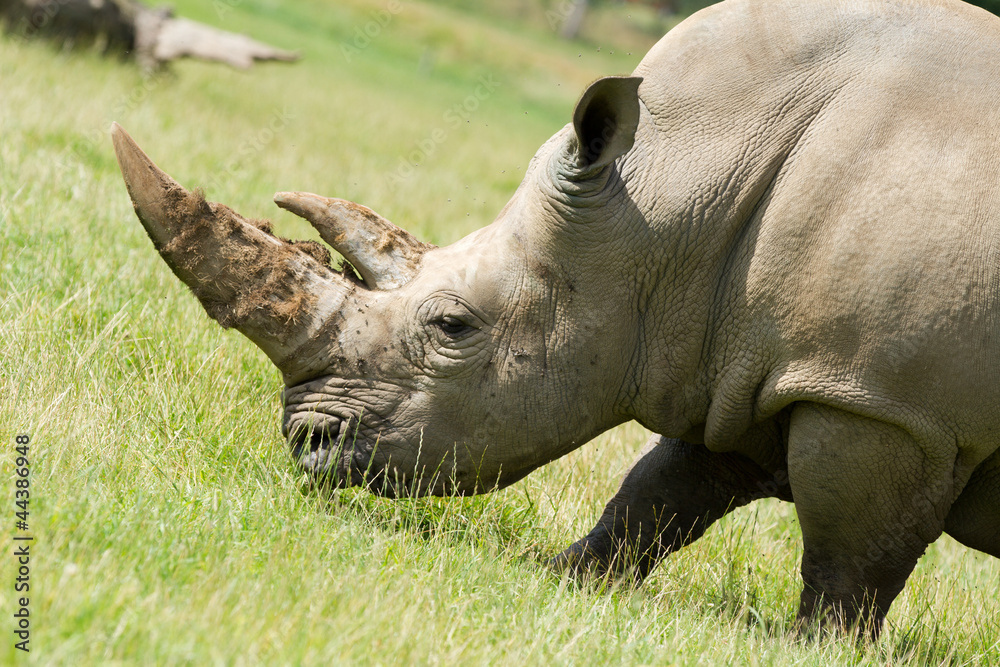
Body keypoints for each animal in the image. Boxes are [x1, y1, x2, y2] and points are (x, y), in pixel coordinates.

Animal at [111, 0, 1000, 636]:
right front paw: (571, 577)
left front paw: (820, 645)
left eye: (452, 327)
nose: (306, 444)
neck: (666, 197)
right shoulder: (741, 358)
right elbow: (661, 489)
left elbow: (850, 553)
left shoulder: (884, 403)